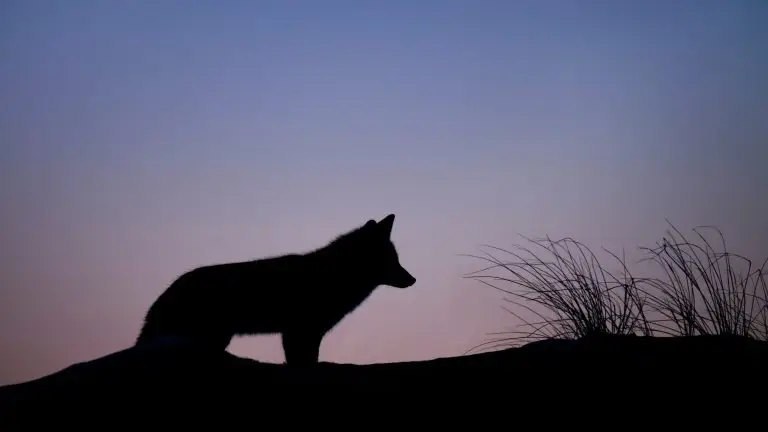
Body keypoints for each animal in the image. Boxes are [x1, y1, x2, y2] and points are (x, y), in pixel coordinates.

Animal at [135, 213, 416, 364]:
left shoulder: (306, 334)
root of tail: (168, 290)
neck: (333, 274)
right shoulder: (299, 332)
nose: (413, 279)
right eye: (392, 260)